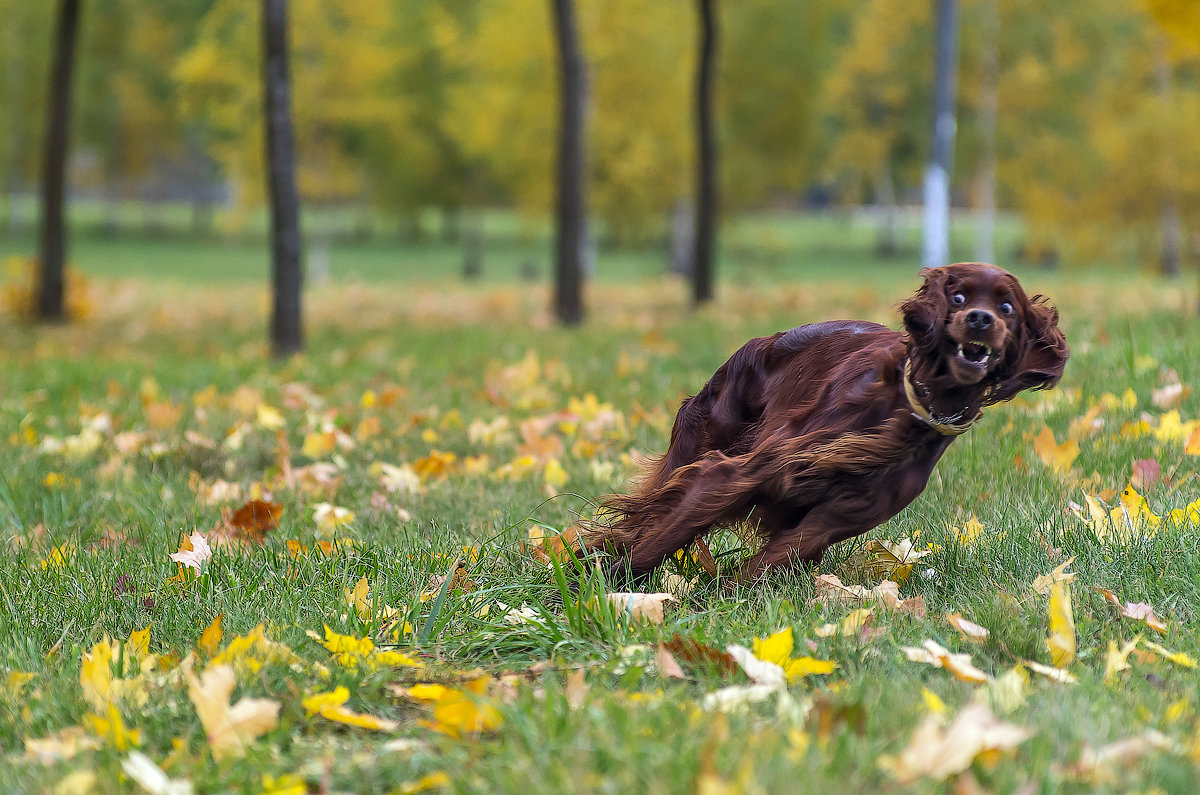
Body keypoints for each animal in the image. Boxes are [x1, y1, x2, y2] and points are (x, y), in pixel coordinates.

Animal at [592, 264, 1070, 583]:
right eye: (958, 298)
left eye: (1006, 307)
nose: (980, 320)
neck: (909, 408)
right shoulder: (736, 472)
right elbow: (662, 538)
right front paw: (607, 587)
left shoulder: (831, 520)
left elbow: (763, 565)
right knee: (639, 518)